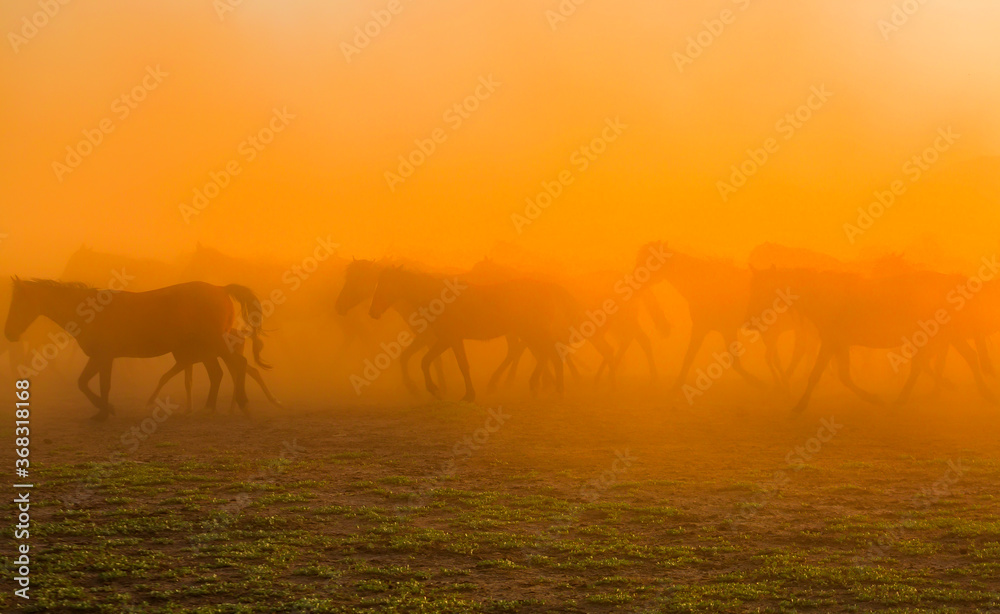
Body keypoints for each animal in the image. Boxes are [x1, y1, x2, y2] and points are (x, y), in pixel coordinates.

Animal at [3, 280, 268, 422]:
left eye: (19, 304)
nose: (8, 333)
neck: (89, 311)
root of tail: (221, 289)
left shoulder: (103, 356)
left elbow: (97, 384)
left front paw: (104, 411)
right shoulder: (101, 357)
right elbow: (89, 383)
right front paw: (104, 410)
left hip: (215, 344)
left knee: (238, 365)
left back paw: (242, 404)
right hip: (208, 348)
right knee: (218, 373)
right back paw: (209, 408)